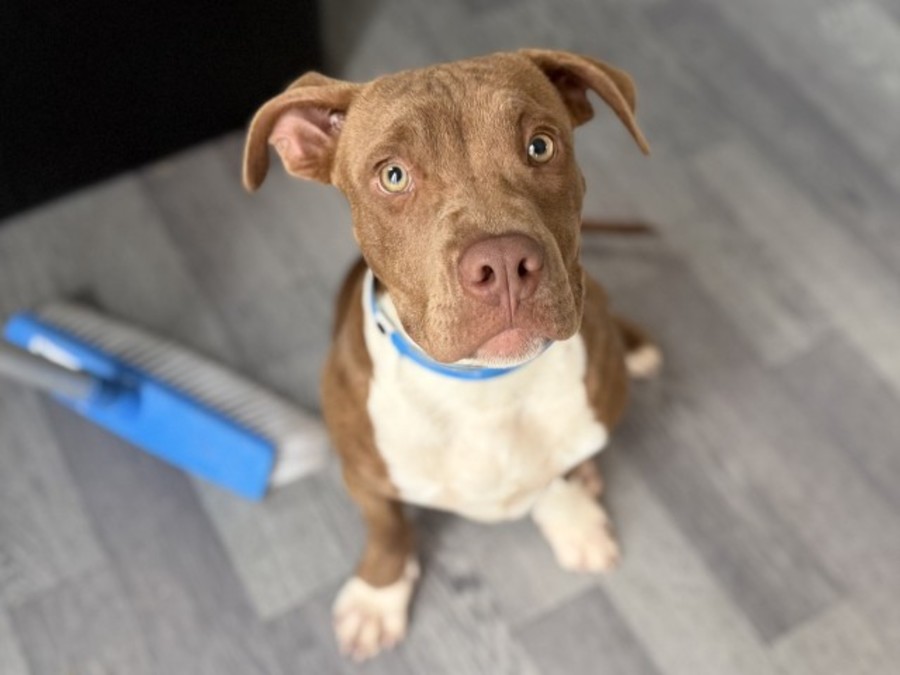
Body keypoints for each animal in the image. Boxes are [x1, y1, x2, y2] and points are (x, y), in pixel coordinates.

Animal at [243, 49, 661, 661]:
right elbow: (388, 529)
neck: (483, 387)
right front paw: (378, 596)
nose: (505, 263)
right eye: (393, 175)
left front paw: (573, 520)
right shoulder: (363, 473)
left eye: (541, 146)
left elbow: (557, 473)